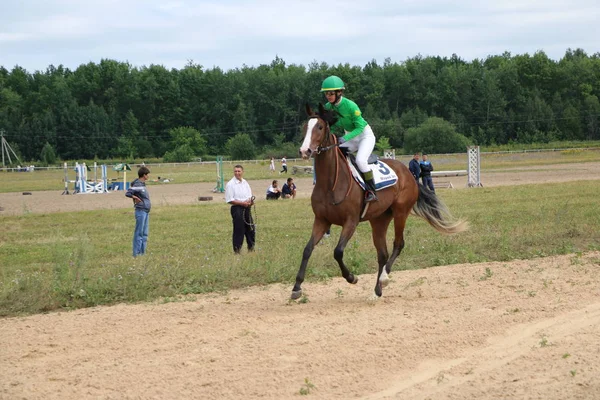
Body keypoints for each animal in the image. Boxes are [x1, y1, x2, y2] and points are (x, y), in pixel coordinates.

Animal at [292, 103, 468, 300]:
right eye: (304, 127)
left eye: (320, 127)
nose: (305, 151)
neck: (331, 183)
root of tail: (409, 174)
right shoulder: (321, 220)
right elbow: (307, 249)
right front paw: (297, 287)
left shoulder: (351, 221)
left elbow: (338, 252)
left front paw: (352, 277)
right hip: (379, 220)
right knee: (382, 254)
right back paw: (377, 291)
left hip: (401, 212)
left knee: (398, 244)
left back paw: (383, 279)